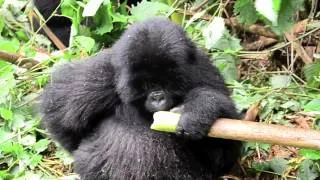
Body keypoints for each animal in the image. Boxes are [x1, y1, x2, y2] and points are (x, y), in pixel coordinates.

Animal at [42, 17, 242, 179]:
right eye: (146, 85)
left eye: (167, 84)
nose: (158, 98)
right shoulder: (101, 73)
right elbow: (60, 116)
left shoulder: (203, 70)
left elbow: (224, 152)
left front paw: (197, 110)